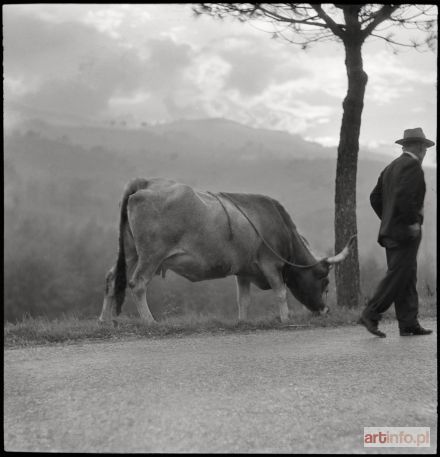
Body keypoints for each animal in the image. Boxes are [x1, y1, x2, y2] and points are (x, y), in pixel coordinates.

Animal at [99, 177, 354, 324]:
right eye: (325, 282)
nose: (325, 310)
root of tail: (145, 184)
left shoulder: (244, 270)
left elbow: (243, 300)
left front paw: (242, 322)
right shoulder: (270, 263)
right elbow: (280, 292)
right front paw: (285, 319)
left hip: (130, 252)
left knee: (112, 278)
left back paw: (104, 320)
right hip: (151, 255)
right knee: (138, 283)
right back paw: (150, 321)